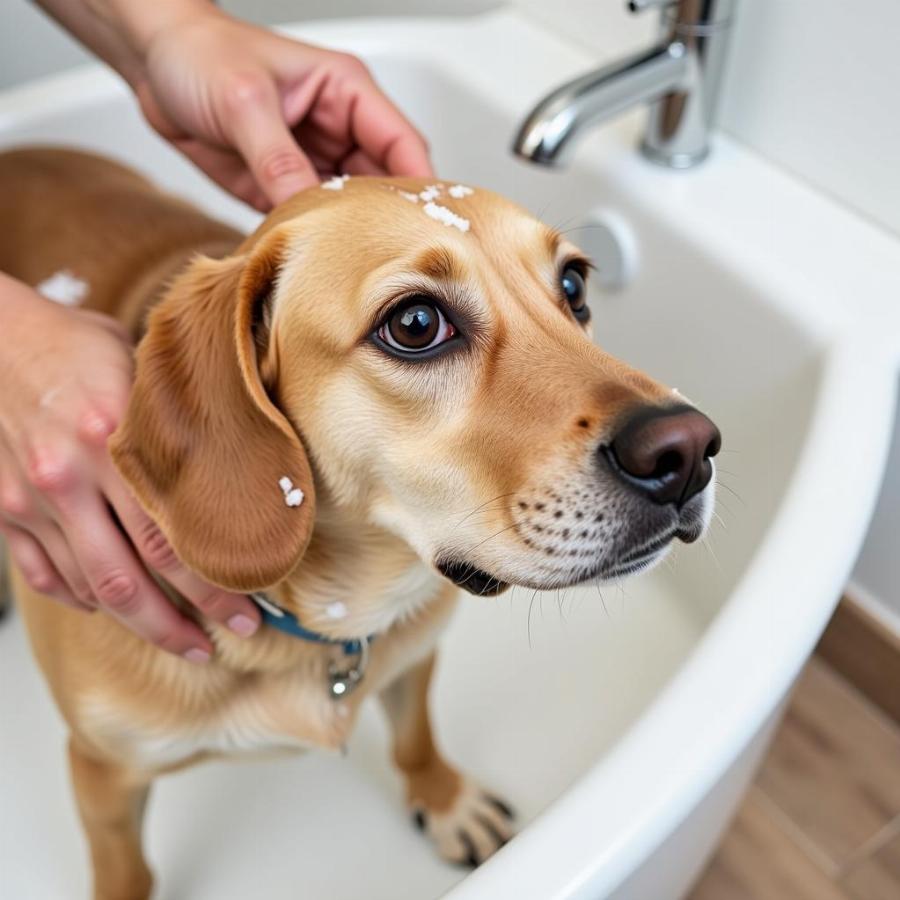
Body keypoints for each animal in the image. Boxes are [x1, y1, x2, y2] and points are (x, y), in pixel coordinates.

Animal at [0, 148, 716, 900]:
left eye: (574, 284)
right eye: (416, 324)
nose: (687, 451)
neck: (332, 620)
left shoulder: (415, 653)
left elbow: (416, 736)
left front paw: (444, 800)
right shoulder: (103, 772)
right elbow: (127, 870)